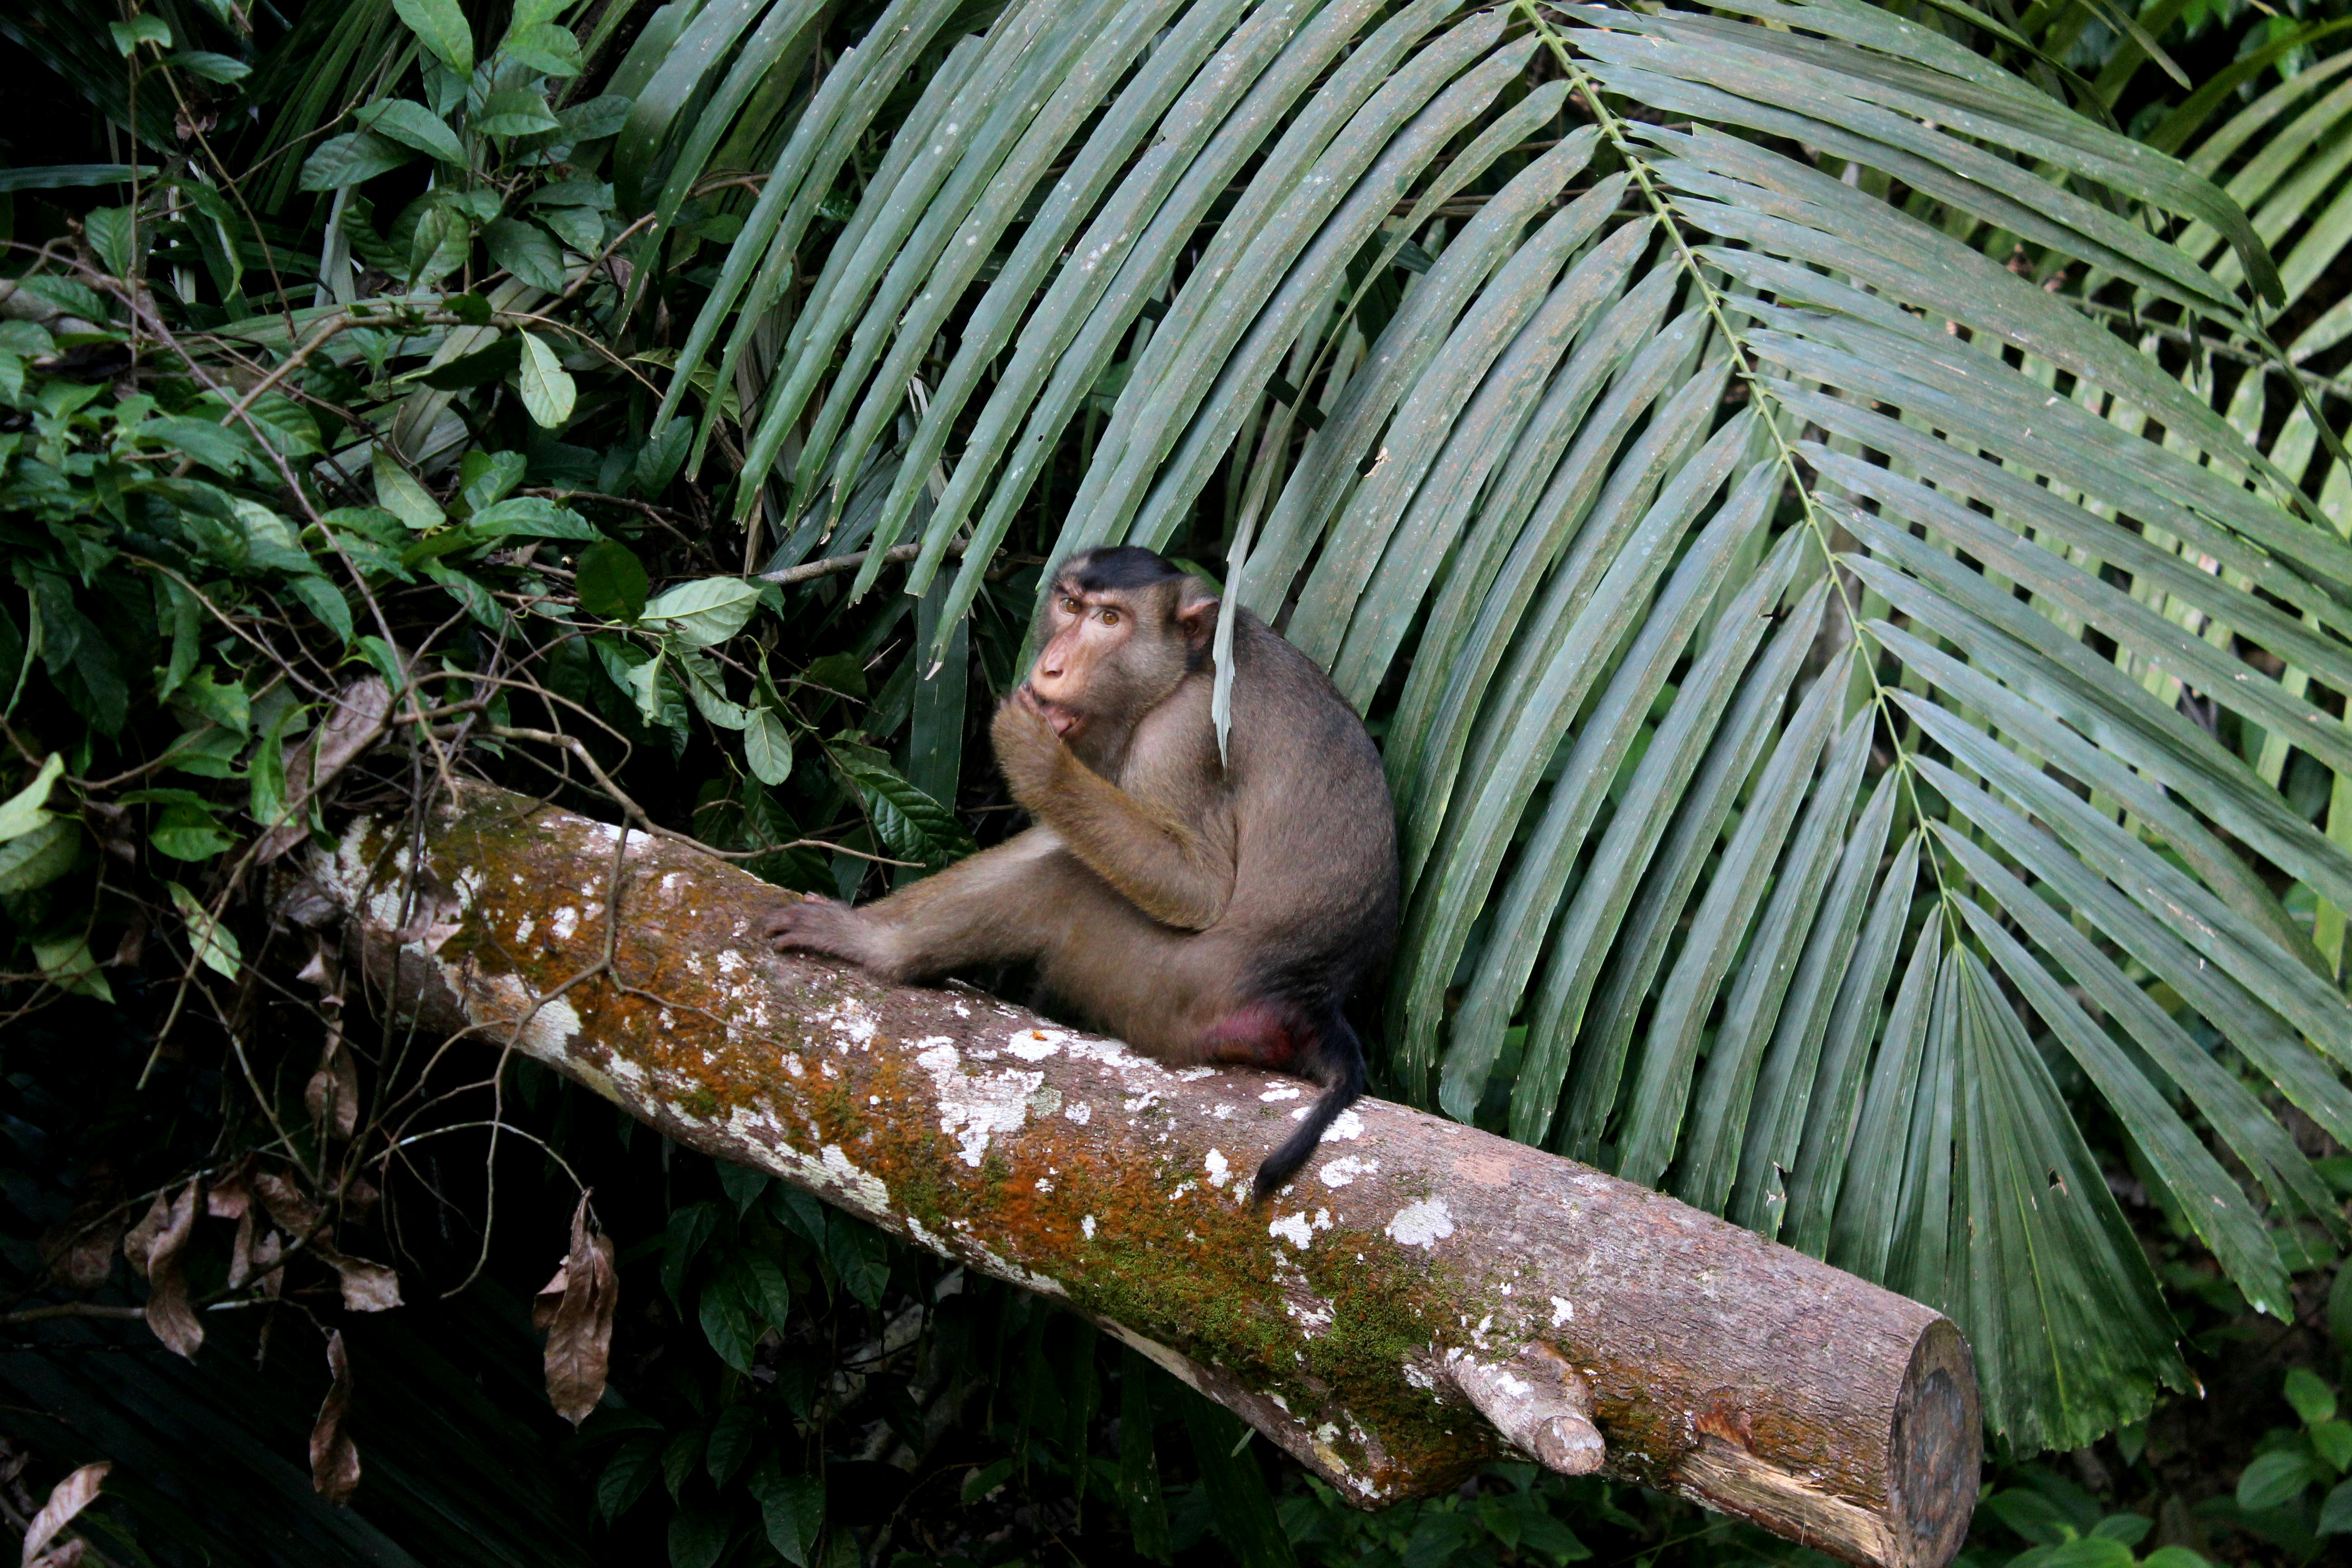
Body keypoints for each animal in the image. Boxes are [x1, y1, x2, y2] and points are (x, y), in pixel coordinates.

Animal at [771, 545, 1392, 1194]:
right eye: (1069, 604)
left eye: (1109, 620)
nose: (1049, 668)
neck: (1188, 667)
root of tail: (1311, 999)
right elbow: (1053, 839)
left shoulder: (1185, 728)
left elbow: (1199, 888)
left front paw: (1036, 759)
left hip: (1171, 991)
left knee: (1061, 886)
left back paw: (882, 953)